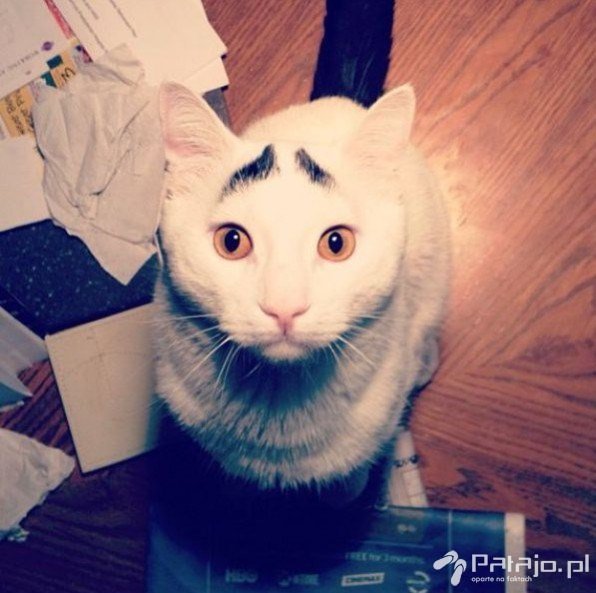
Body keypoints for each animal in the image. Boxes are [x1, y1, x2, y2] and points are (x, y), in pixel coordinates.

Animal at [153, 2, 450, 501]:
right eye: (231, 241)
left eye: (337, 243)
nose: (284, 307)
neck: (276, 405)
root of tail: (339, 101)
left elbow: (352, 472)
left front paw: (346, 493)